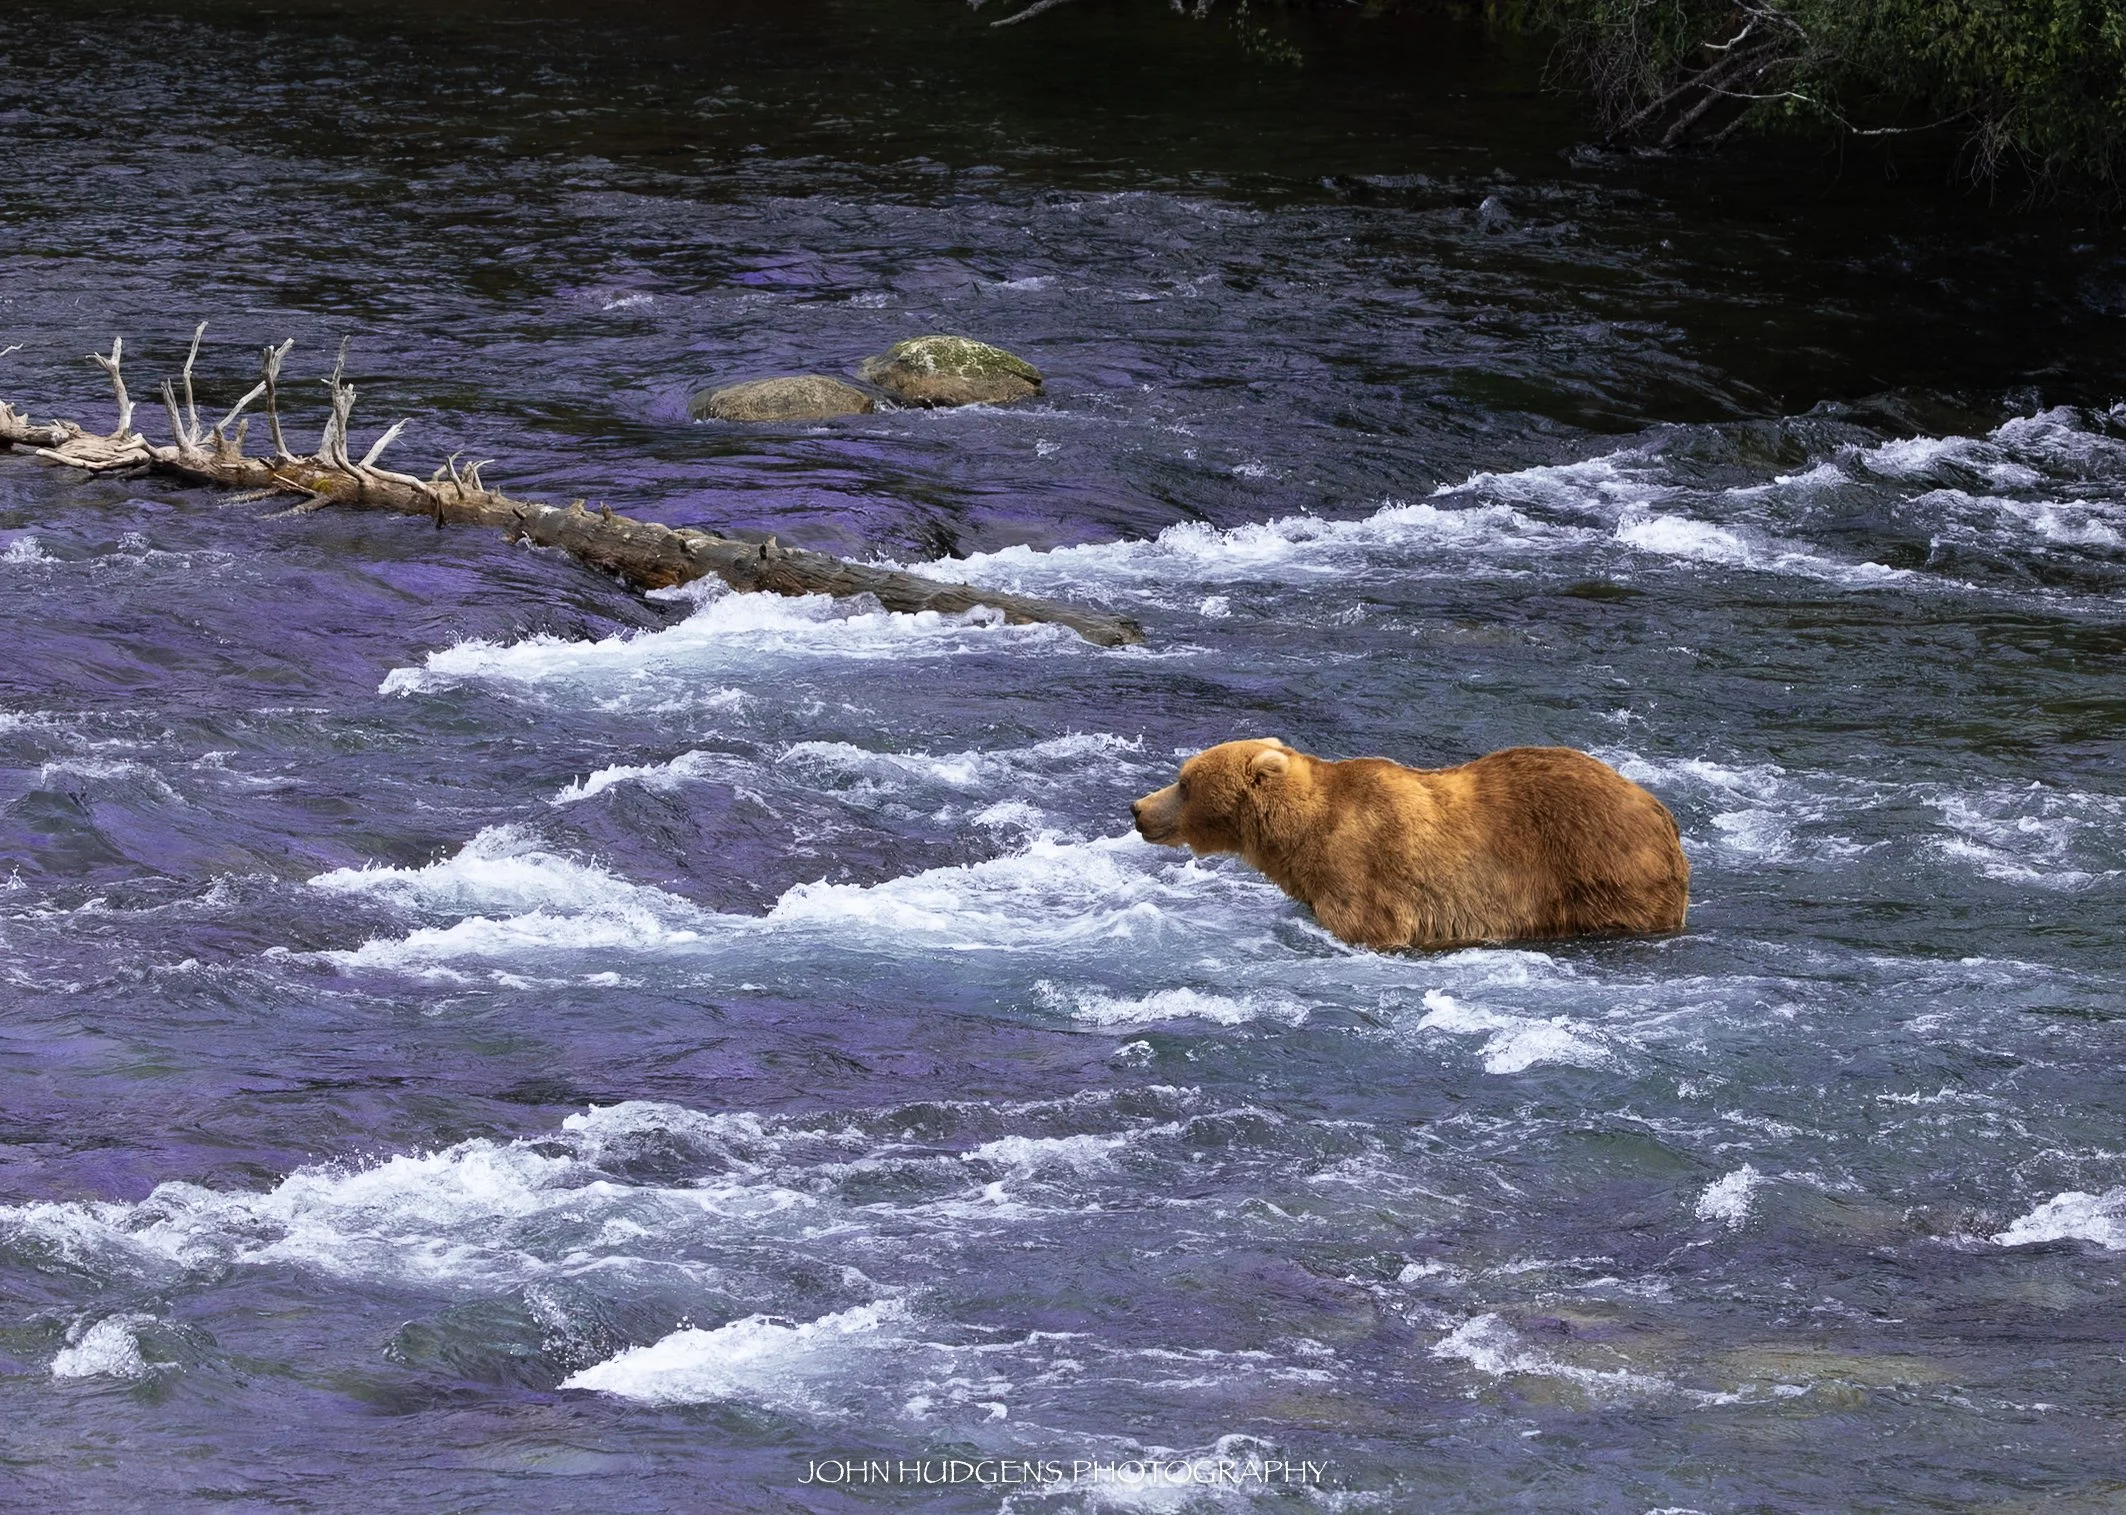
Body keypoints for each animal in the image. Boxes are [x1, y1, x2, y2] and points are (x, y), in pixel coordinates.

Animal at [1130, 739, 1688, 952]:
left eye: (1184, 782)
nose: (1138, 808)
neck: (1302, 837)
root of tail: (1661, 810)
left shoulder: (1364, 876)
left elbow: (1368, 923)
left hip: (1603, 869)